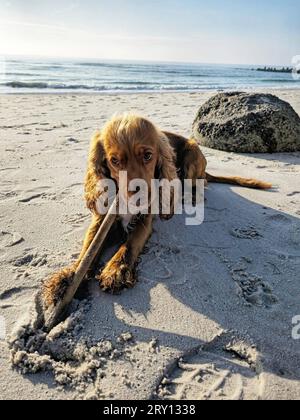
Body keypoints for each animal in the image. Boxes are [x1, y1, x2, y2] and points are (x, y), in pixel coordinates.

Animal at [42, 115, 272, 306]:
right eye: (114, 161)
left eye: (148, 155)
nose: (140, 194)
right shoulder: (101, 219)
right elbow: (89, 247)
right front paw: (69, 277)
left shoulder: (145, 219)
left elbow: (130, 243)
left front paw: (116, 270)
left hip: (192, 155)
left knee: (198, 183)